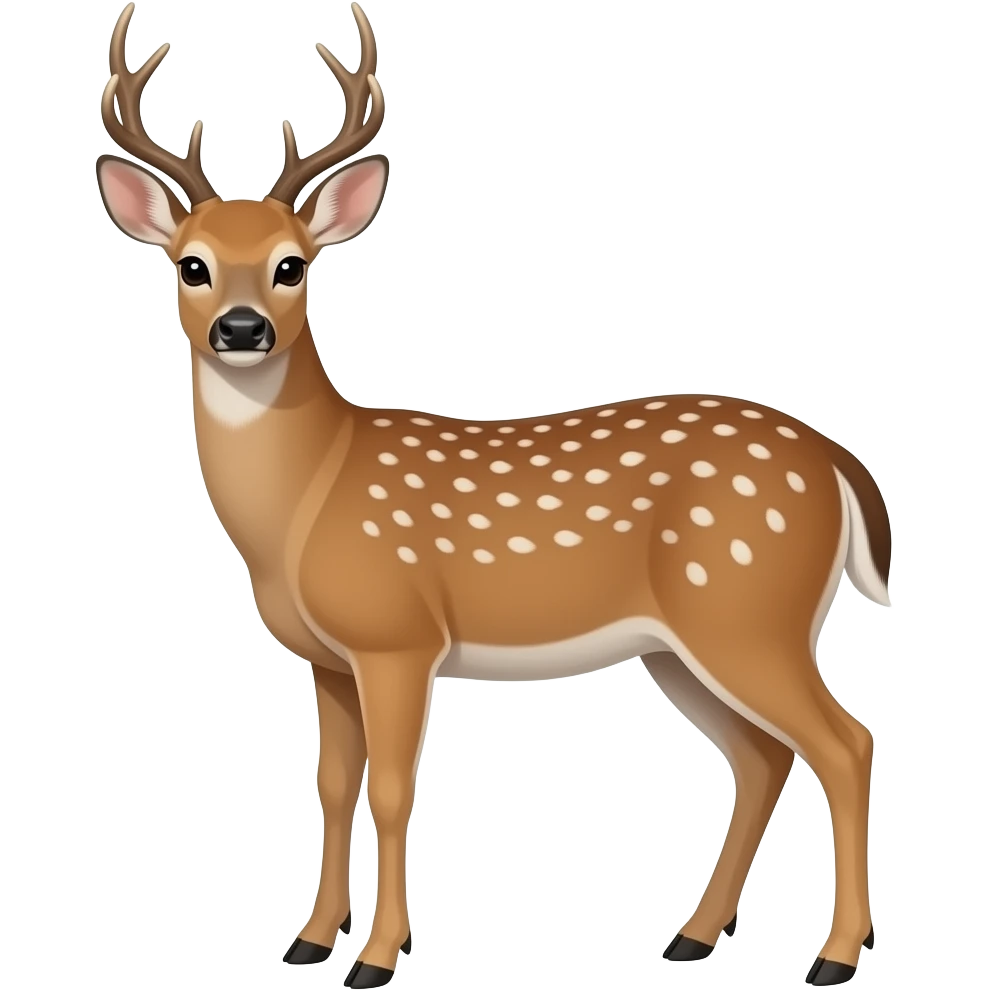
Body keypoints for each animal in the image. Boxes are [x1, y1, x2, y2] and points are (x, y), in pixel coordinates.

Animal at [95, 3, 888, 986]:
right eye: (191, 265)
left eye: (292, 265)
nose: (242, 330)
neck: (307, 498)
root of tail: (838, 463)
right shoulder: (329, 657)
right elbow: (332, 786)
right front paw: (310, 940)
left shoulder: (399, 635)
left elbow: (393, 790)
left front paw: (379, 956)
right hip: (683, 642)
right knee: (764, 755)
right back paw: (692, 937)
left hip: (750, 609)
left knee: (845, 743)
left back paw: (835, 956)